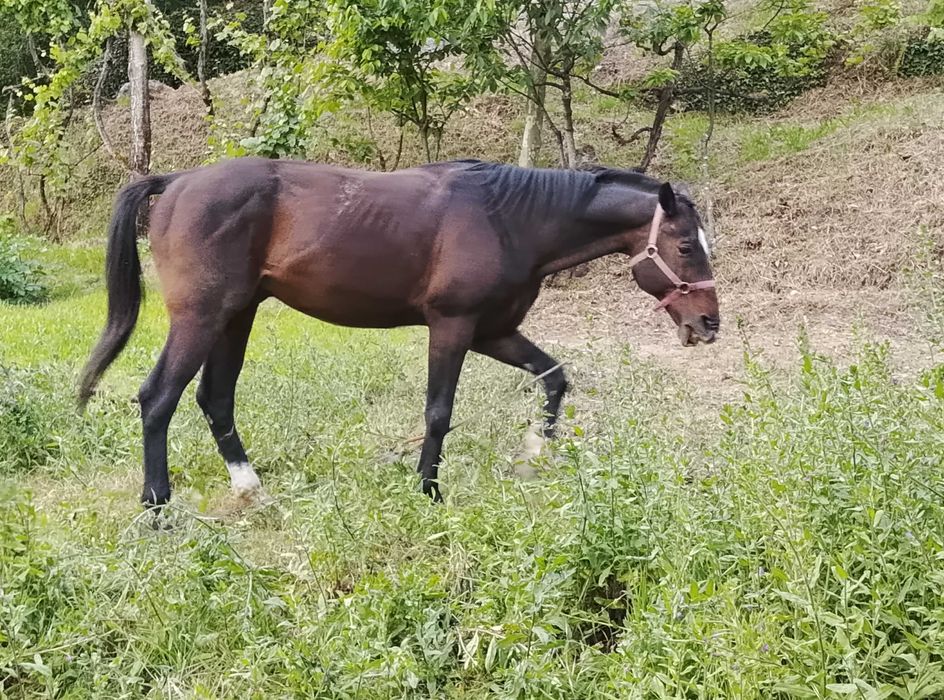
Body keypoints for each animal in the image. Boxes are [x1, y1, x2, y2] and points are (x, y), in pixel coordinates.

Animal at [78, 157, 719, 508]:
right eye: (686, 246)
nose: (709, 324)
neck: (509, 218)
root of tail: (177, 181)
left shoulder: (494, 331)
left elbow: (555, 377)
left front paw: (533, 455)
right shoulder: (453, 326)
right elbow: (438, 411)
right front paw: (428, 491)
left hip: (236, 316)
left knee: (215, 398)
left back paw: (251, 489)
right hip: (202, 317)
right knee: (158, 398)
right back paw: (158, 508)